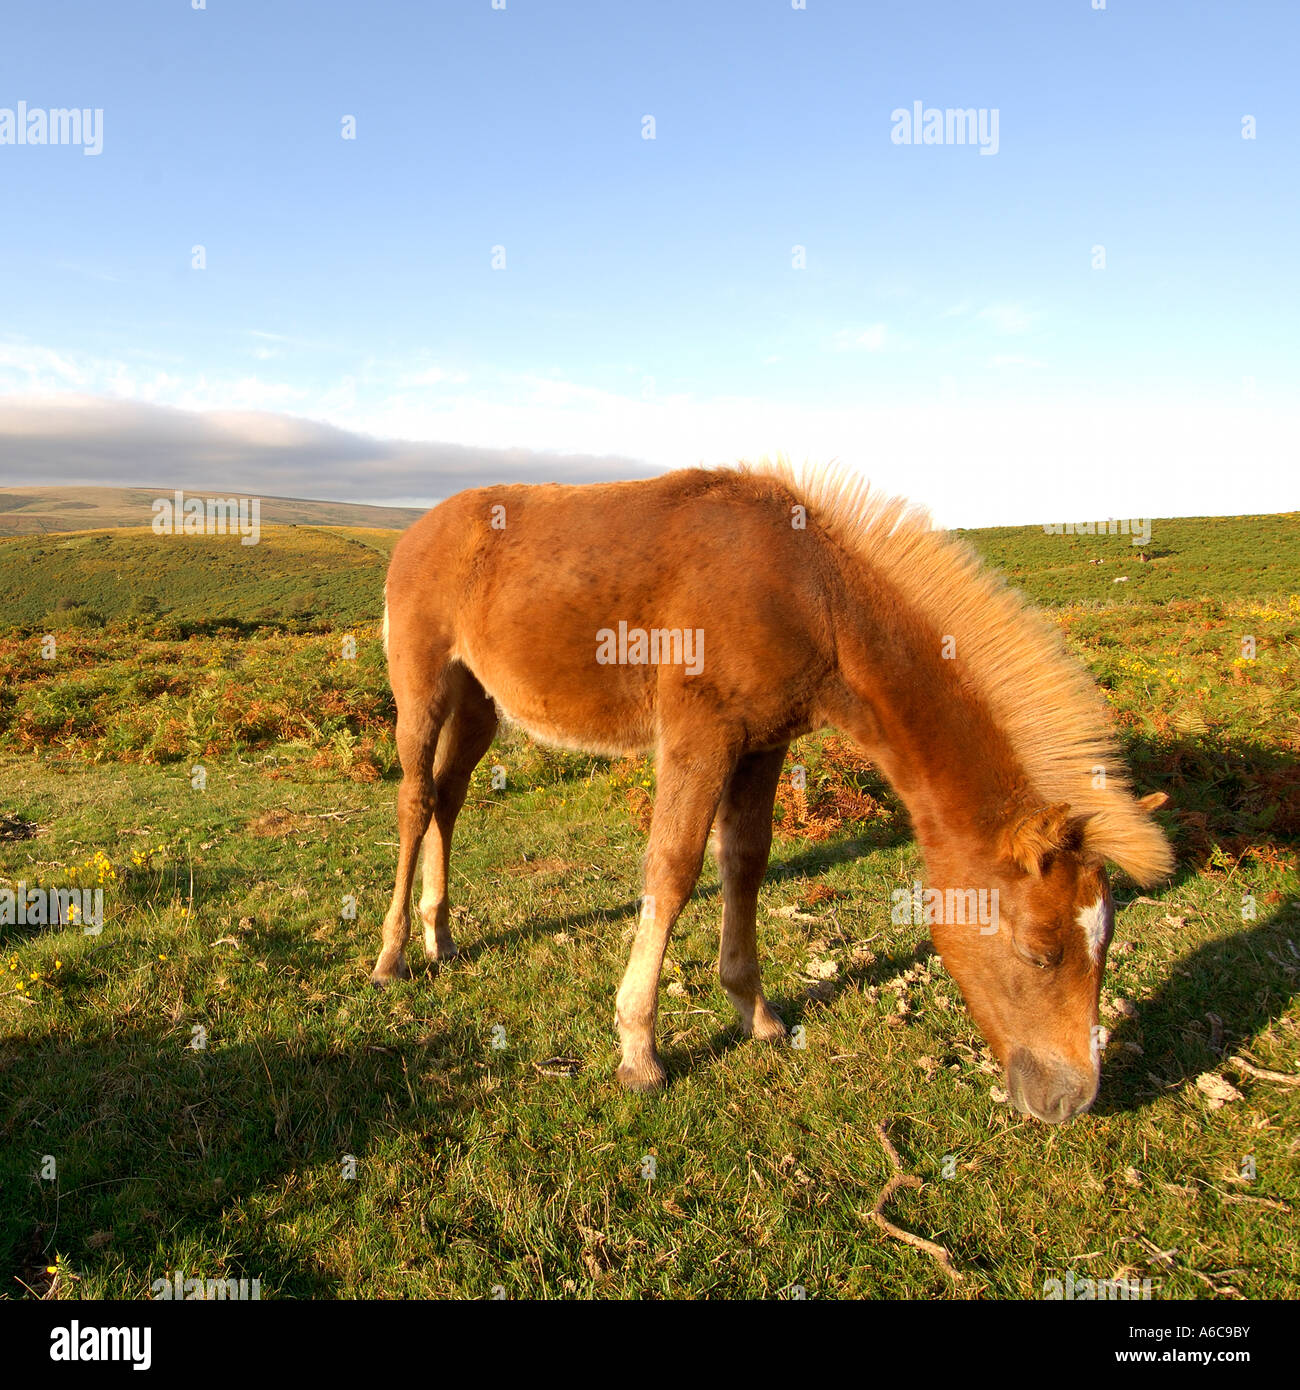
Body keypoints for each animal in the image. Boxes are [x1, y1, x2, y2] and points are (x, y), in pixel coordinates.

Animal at [372, 460, 1172, 1124]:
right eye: (1038, 952)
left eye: (1106, 943)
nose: (1072, 1099)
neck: (811, 595)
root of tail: (417, 530)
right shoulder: (699, 736)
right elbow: (673, 871)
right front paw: (639, 1050)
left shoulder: (762, 743)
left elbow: (745, 864)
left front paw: (754, 1012)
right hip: (424, 684)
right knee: (416, 802)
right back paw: (393, 956)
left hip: (480, 702)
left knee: (449, 798)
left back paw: (441, 934)